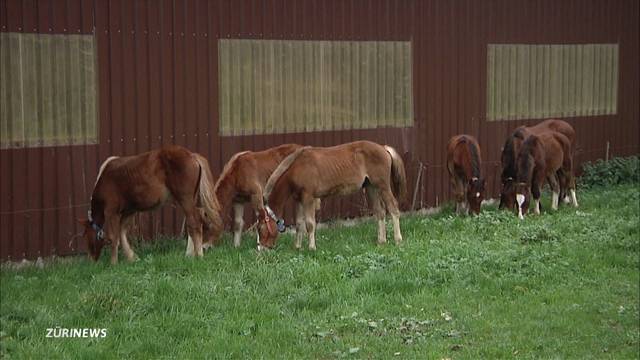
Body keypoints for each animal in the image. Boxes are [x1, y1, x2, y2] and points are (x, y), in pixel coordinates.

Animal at [78, 145, 222, 262]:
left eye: (86, 236)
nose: (91, 259)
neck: (106, 178)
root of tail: (192, 155)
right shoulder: (130, 211)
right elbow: (122, 232)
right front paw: (132, 257)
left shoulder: (112, 212)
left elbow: (114, 237)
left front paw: (113, 263)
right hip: (190, 200)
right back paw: (190, 254)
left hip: (185, 200)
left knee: (195, 223)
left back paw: (199, 255)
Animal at [255, 140, 404, 250]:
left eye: (260, 228)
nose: (261, 249)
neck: (296, 168)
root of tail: (383, 148)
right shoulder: (298, 200)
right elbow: (299, 223)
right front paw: (297, 247)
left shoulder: (308, 198)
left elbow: (310, 224)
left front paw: (311, 248)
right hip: (371, 188)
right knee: (380, 213)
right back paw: (381, 241)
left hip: (383, 186)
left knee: (393, 209)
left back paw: (398, 240)